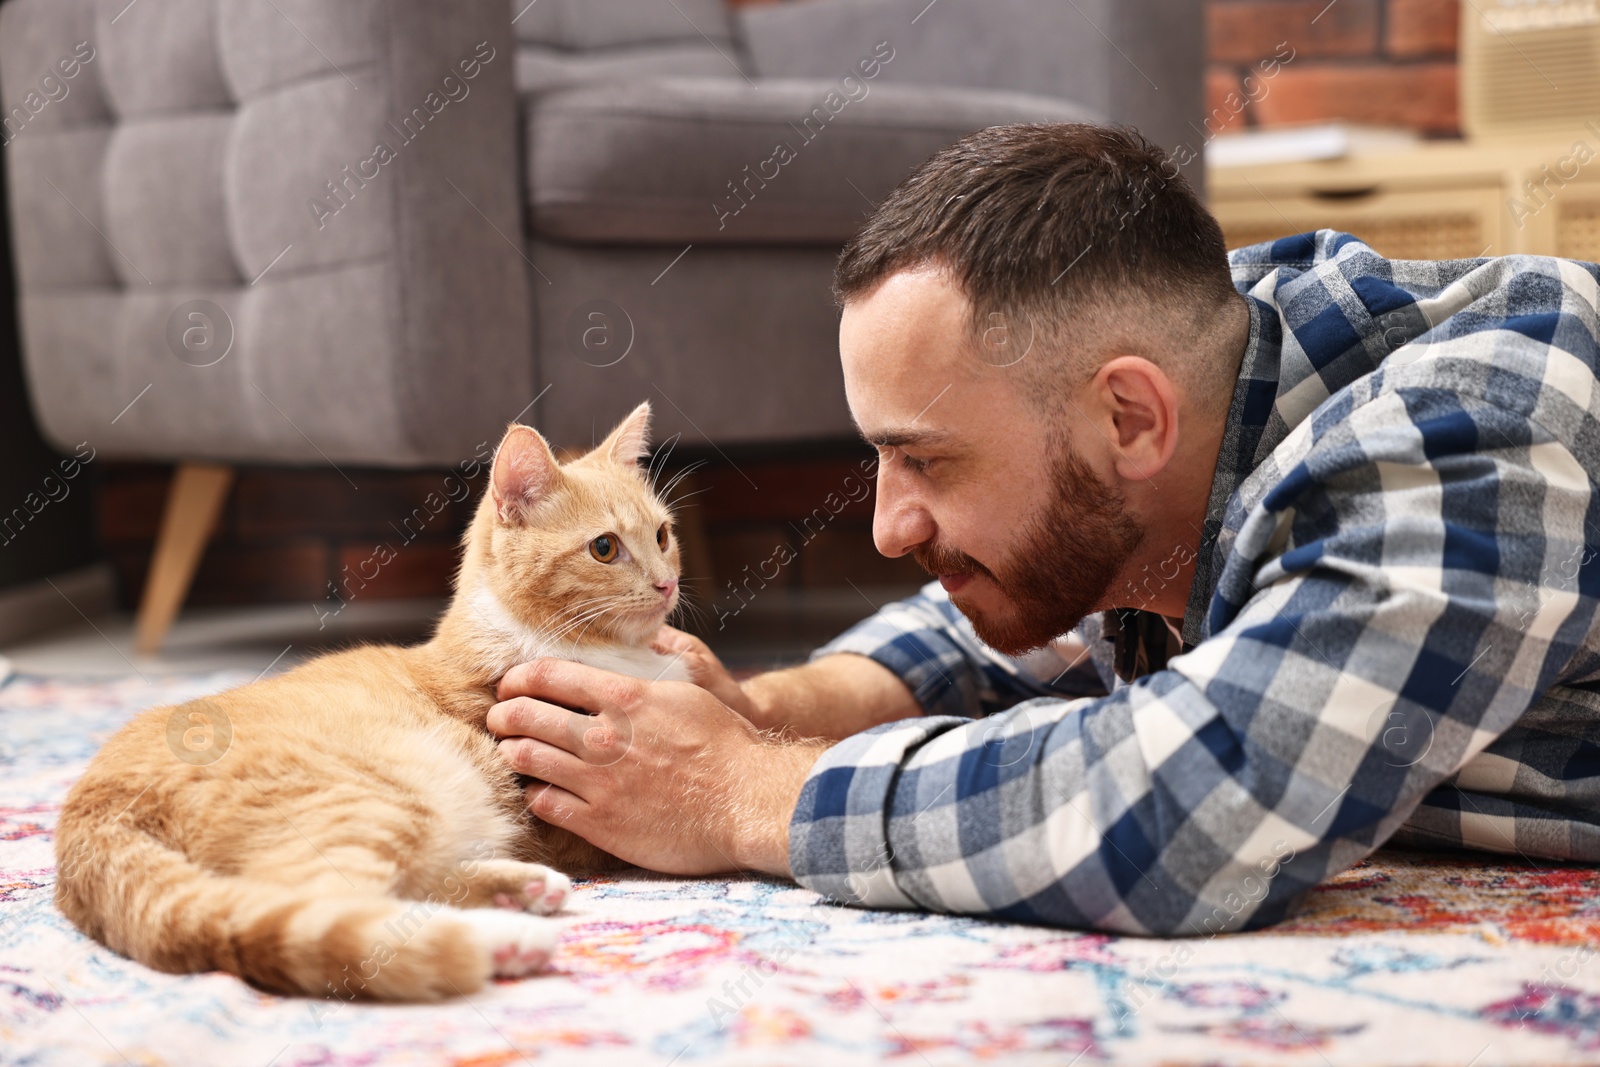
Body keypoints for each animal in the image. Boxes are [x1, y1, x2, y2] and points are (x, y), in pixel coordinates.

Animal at [53, 404, 691, 1004]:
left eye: (663, 536)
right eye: (604, 548)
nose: (667, 584)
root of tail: (90, 805)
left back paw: (519, 895)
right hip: (382, 795)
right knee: (329, 911)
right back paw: (504, 939)